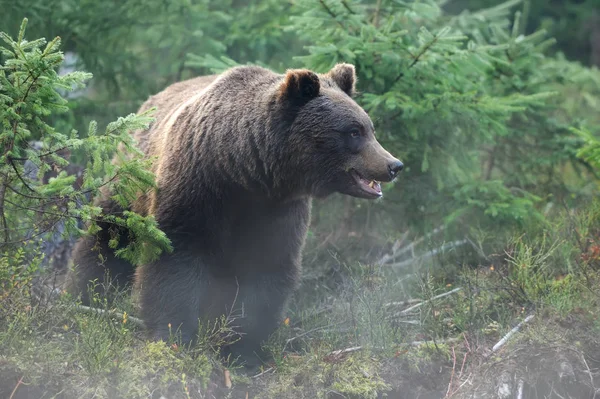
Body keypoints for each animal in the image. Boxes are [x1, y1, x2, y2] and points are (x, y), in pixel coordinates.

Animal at [67, 64, 404, 368]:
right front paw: (175, 337)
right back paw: (83, 296)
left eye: (369, 128)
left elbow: (266, 270)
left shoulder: (276, 211)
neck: (243, 169)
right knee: (106, 237)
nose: (394, 165)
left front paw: (243, 350)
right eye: (353, 131)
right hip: (129, 184)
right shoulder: (197, 189)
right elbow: (174, 258)